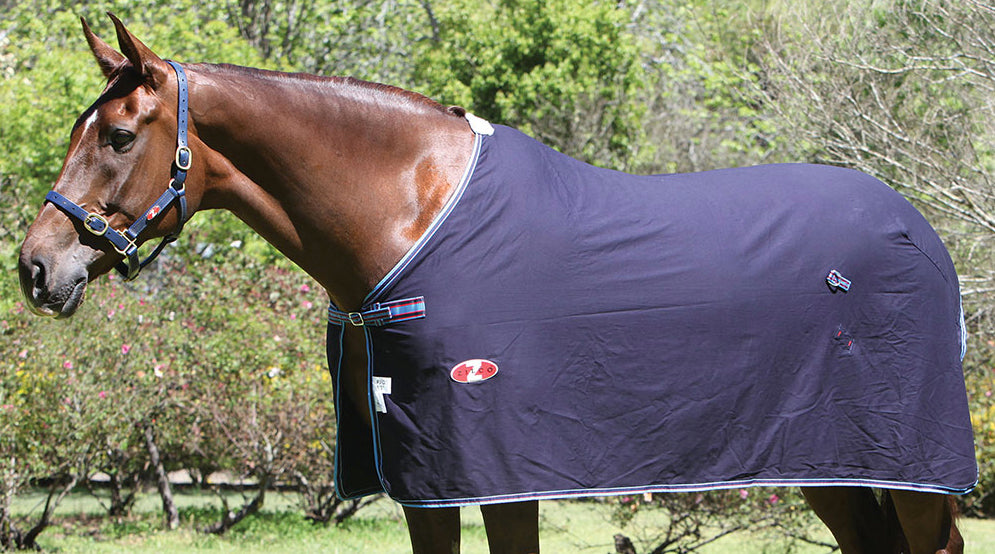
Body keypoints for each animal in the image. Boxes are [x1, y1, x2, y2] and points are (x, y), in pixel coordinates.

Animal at [18, 15, 973, 554]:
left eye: (117, 135)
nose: (34, 266)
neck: (413, 220)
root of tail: (915, 228)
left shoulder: (498, 472)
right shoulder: (425, 478)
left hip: (909, 464)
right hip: (832, 461)